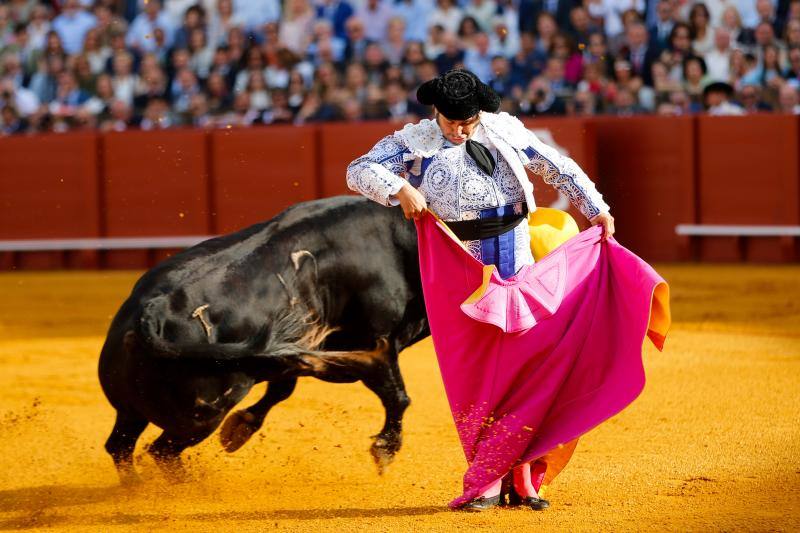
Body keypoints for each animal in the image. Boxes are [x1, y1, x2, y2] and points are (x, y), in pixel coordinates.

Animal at [100, 197, 432, 484]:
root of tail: (153, 310)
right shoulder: (376, 342)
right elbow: (397, 397)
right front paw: (385, 449)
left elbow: (282, 388)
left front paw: (241, 427)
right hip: (200, 417)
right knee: (161, 451)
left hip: (132, 410)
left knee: (120, 446)